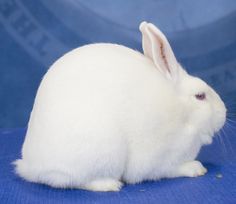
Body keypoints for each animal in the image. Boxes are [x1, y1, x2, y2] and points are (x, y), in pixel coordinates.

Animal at [13, 21, 226, 190]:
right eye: (200, 96)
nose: (224, 113)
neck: (180, 112)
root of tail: (30, 166)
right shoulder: (159, 158)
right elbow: (171, 168)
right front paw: (196, 168)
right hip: (100, 152)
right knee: (76, 181)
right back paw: (109, 185)